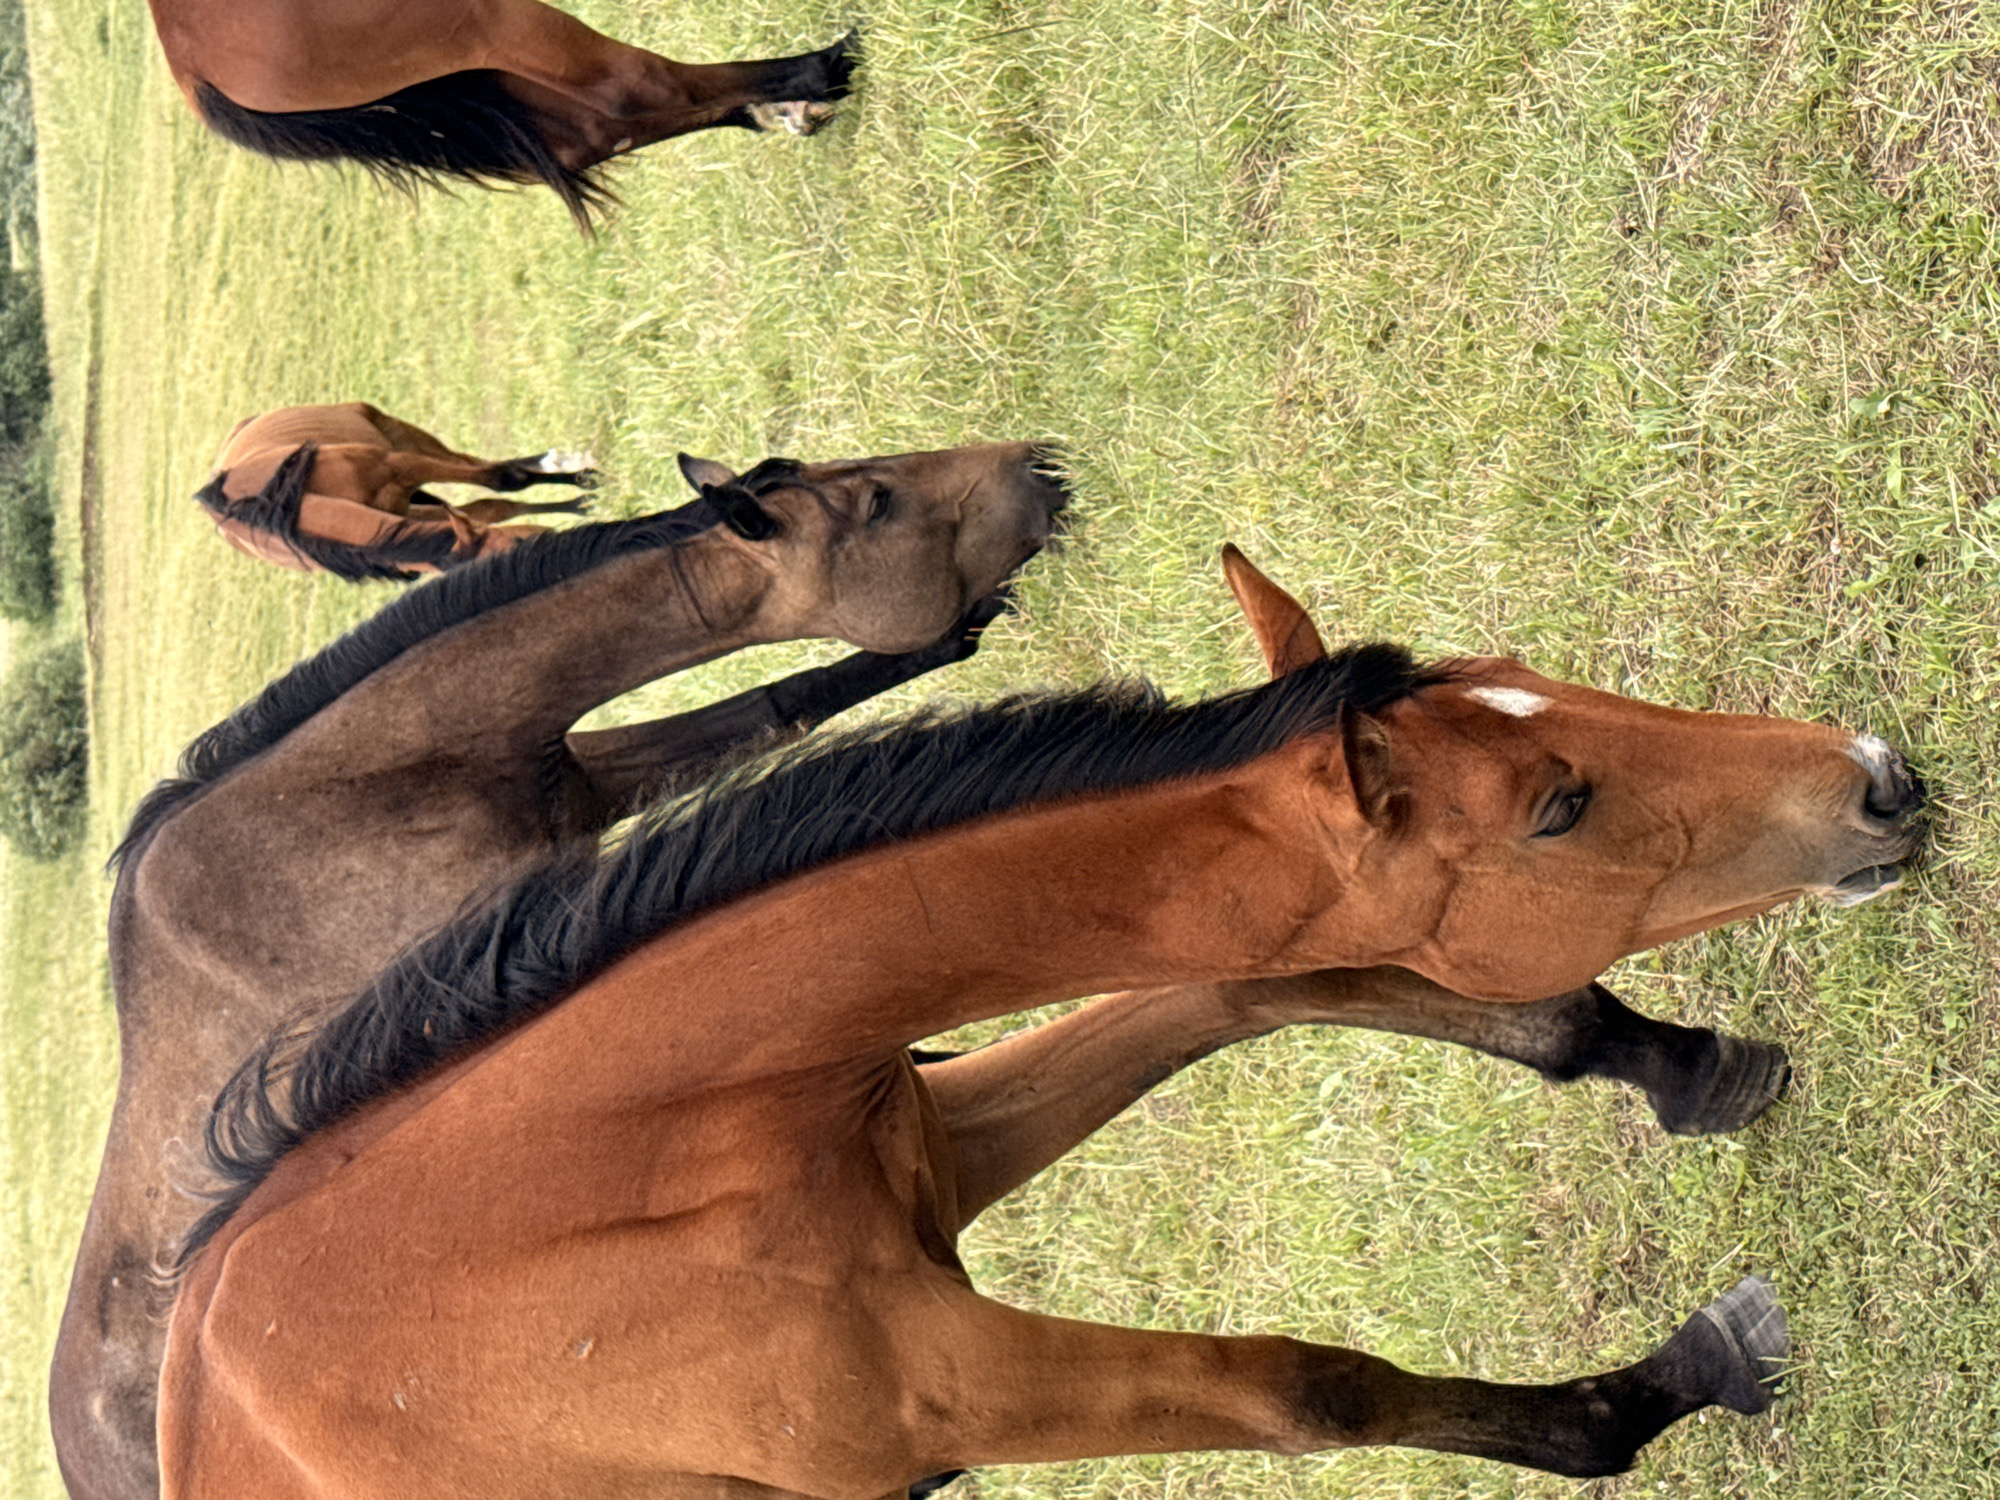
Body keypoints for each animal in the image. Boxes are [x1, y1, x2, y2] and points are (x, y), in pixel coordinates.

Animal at [145, 0, 860, 228]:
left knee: (599, 128)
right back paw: (823, 68)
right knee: (630, 90)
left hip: (477, 62)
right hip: (492, 24)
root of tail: (190, 64)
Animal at [156, 548, 1926, 1499]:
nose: (1882, 778)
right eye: (1560, 808)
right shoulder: (954, 1386)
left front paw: (1689, 1066)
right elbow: (1310, 1391)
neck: (579, 1179)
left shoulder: (937, 1143)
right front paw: (1674, 1380)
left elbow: (1249, 983)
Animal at [197, 402, 600, 580]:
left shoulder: (400, 464)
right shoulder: (402, 513)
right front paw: (577, 503)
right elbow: (492, 507)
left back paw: (560, 464)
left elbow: (502, 480)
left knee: (478, 464)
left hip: (394, 431)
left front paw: (584, 483)